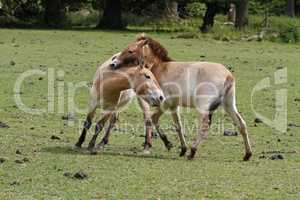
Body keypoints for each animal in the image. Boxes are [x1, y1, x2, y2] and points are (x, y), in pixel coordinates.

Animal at [109, 34, 252, 161]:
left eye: (130, 50)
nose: (113, 64)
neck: (161, 68)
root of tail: (228, 75)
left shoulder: (165, 102)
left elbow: (153, 118)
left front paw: (168, 143)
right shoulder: (173, 106)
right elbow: (178, 125)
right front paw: (182, 149)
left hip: (203, 107)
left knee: (204, 126)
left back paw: (192, 151)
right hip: (229, 105)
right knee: (241, 124)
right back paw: (247, 154)